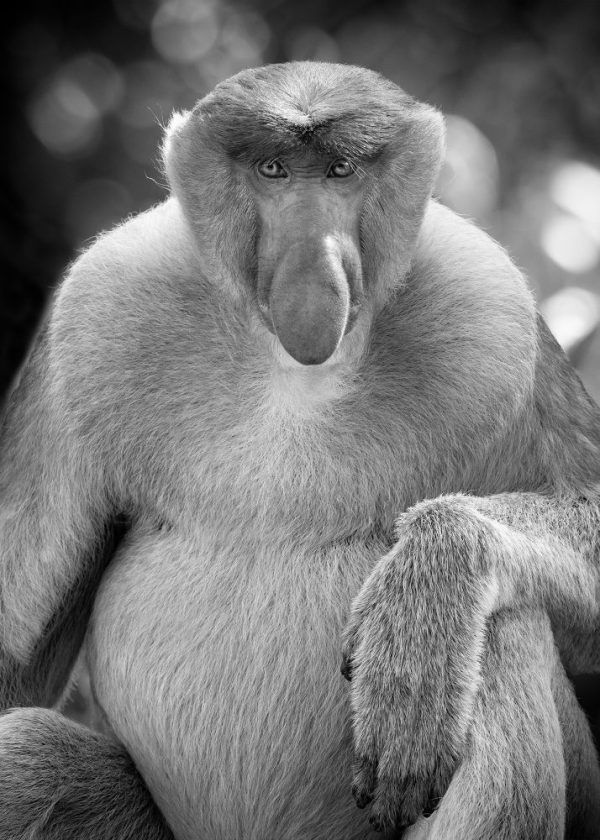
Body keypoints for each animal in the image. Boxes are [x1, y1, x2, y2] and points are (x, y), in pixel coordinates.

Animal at [0, 60, 599, 840]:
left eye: (341, 171)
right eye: (273, 170)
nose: (314, 267)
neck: (294, 374)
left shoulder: (494, 312)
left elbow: (579, 513)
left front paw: (429, 592)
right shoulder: (92, 315)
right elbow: (15, 656)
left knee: (507, 628)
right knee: (28, 755)